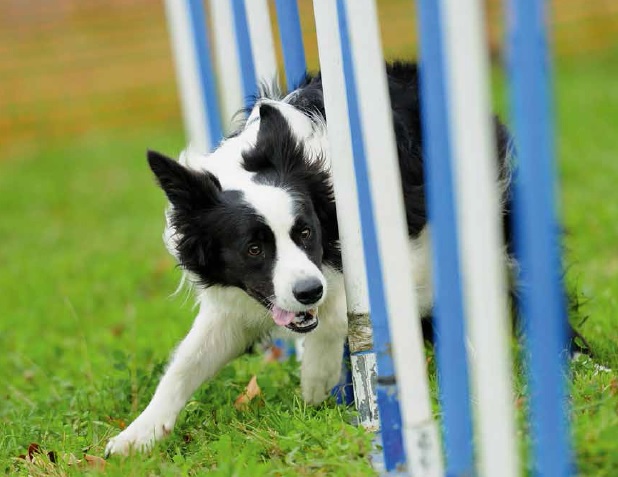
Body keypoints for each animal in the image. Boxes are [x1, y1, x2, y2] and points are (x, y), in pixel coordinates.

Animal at [103, 61, 584, 456]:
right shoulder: (237, 306)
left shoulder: (405, 249)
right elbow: (186, 365)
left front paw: (318, 378)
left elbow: (341, 316)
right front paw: (135, 437)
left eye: (305, 232)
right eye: (253, 248)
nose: (307, 291)